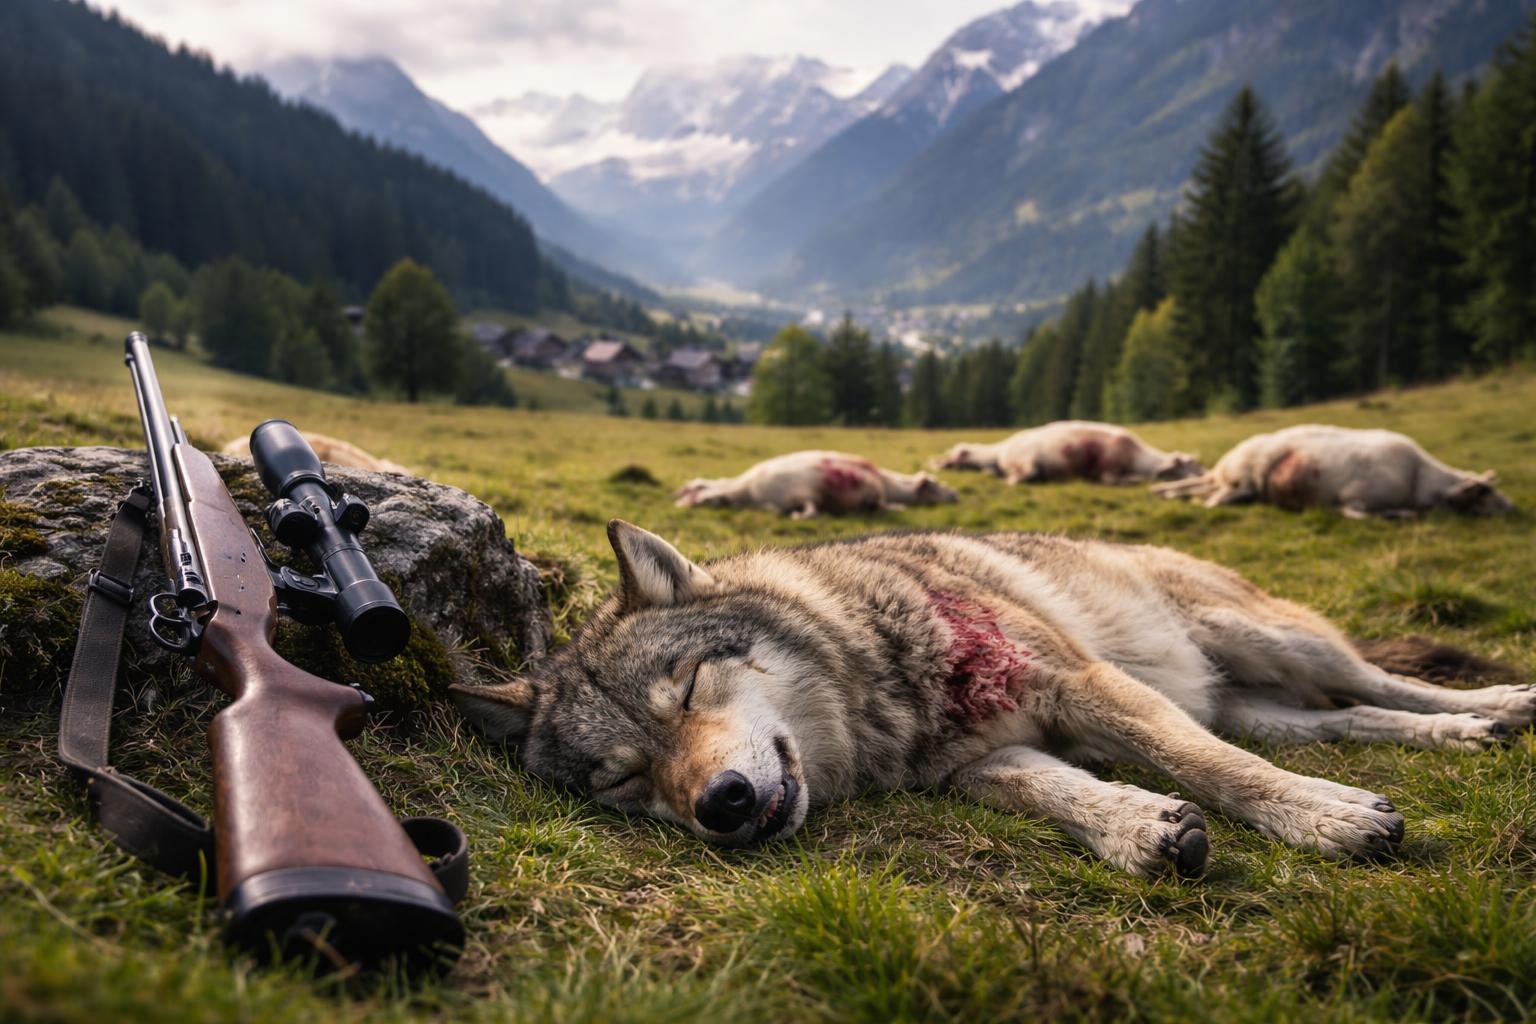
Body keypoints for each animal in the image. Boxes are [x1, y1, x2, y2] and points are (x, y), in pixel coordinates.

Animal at [454, 523, 1533, 877]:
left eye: (684, 691)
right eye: (621, 781)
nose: (720, 804)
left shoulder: (1079, 684)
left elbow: (1216, 771)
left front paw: (1327, 818)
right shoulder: (984, 763)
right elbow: (1069, 795)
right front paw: (1143, 831)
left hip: (1263, 638)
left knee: (1376, 681)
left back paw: (1501, 706)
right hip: (1258, 699)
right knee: (1344, 718)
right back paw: (1468, 735)